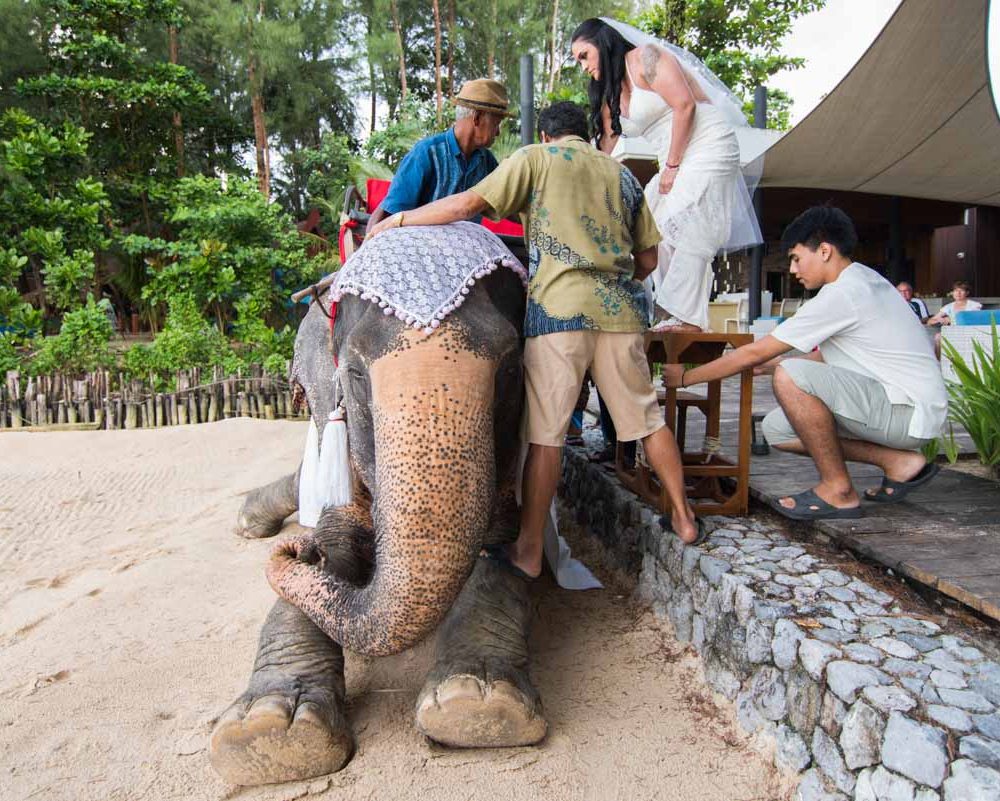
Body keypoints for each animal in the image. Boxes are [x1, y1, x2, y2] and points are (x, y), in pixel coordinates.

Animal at [208, 260, 552, 784]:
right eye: (354, 374)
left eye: (512, 370)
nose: (297, 550)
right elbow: (335, 540)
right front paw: (268, 733)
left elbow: (505, 544)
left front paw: (479, 702)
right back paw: (251, 522)